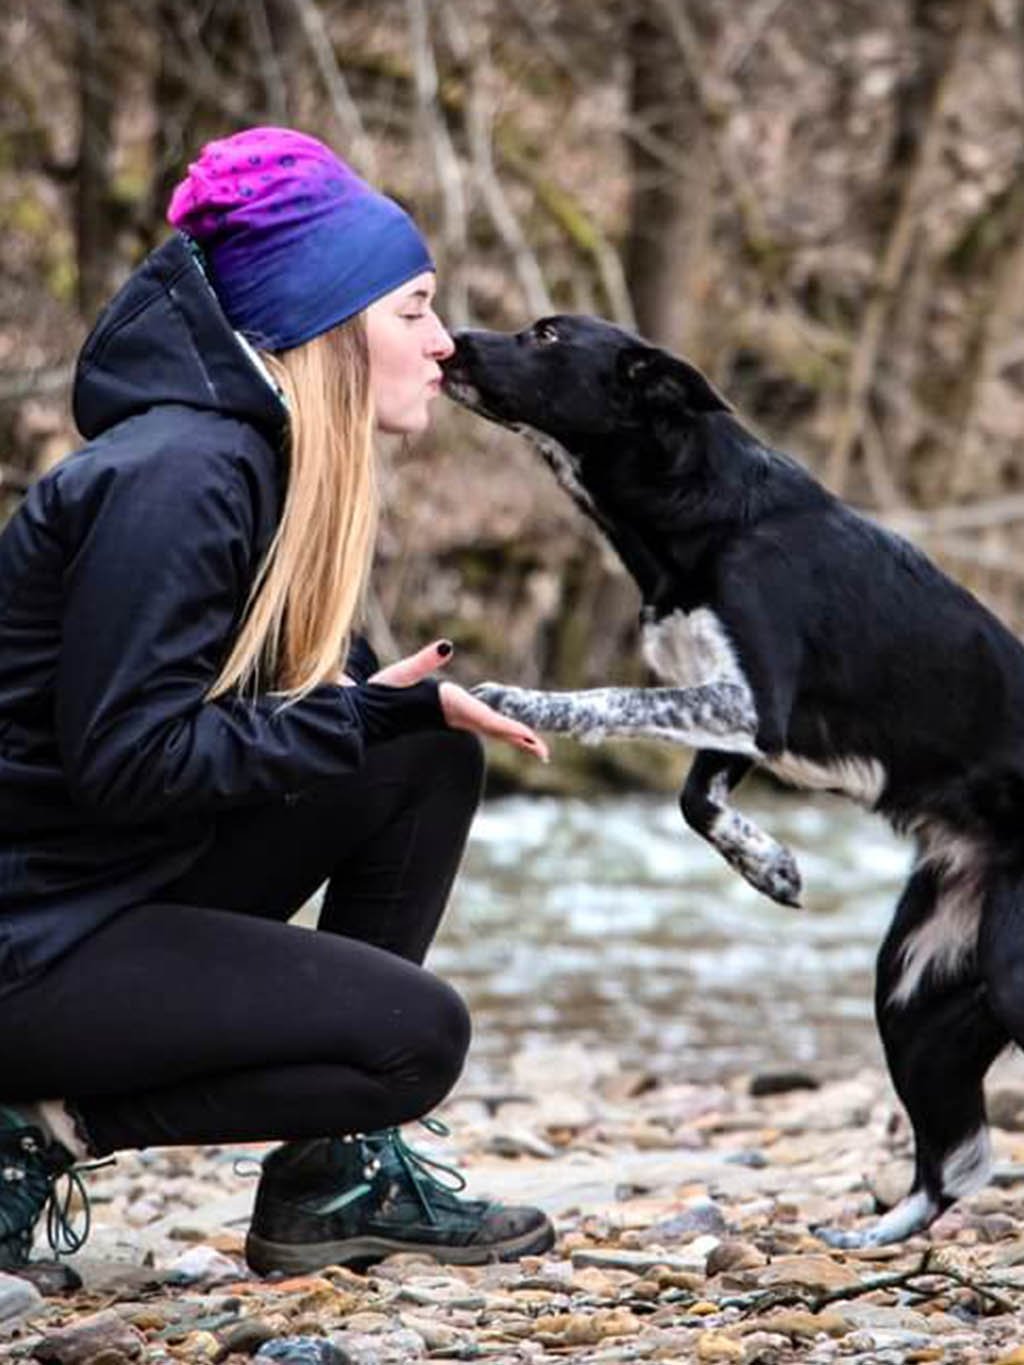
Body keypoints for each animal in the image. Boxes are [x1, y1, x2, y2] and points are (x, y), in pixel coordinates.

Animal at [447, 316, 1024, 1250]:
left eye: (547, 335)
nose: (454, 337)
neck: (700, 512)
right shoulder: (736, 722)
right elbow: (693, 802)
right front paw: (770, 865)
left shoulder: (750, 703)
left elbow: (604, 701)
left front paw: (520, 699)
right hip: (909, 991)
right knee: (955, 1160)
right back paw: (871, 1236)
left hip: (1008, 967)